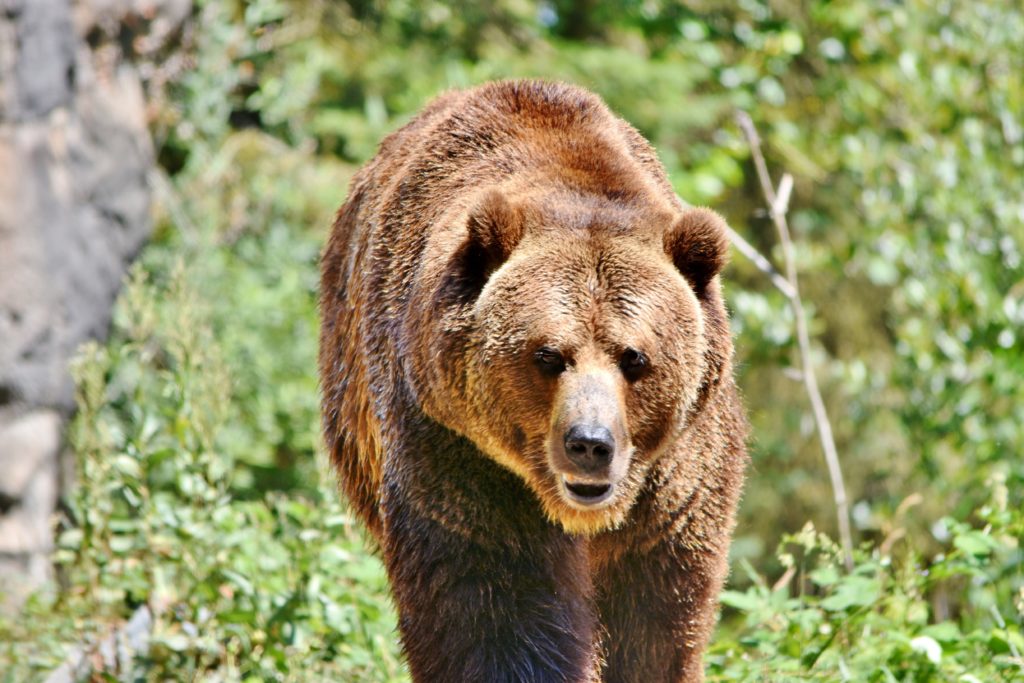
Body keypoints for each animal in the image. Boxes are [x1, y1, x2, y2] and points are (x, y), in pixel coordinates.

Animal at [321, 81, 753, 683]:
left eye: (635, 357)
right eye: (548, 355)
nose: (590, 443)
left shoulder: (676, 480)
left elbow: (655, 616)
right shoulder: (459, 449)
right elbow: (497, 606)